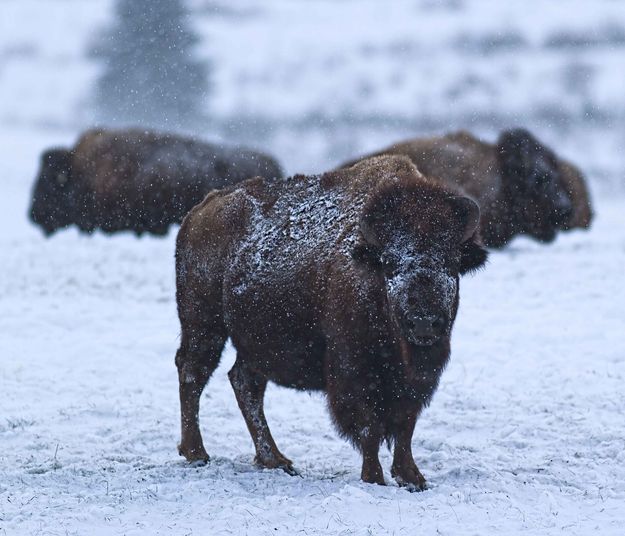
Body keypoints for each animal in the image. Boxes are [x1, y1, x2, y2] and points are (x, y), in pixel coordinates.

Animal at [174, 154, 488, 490]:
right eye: (389, 263)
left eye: (451, 262)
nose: (424, 322)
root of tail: (200, 211)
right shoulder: (355, 372)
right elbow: (369, 427)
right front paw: (373, 478)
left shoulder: (415, 381)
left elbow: (405, 427)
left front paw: (413, 478)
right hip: (203, 325)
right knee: (193, 373)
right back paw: (197, 453)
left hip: (254, 343)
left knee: (245, 383)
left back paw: (275, 459)